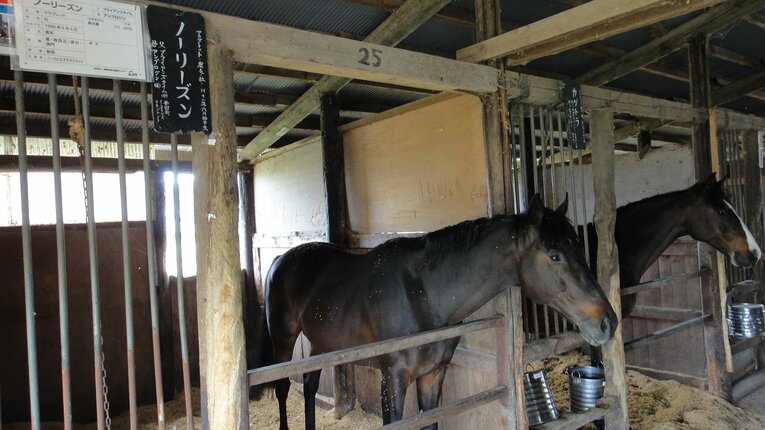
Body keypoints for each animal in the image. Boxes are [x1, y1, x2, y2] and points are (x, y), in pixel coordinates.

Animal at [255, 195, 617, 430]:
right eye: (555, 255)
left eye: (578, 247)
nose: (607, 321)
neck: (423, 294)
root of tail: (280, 259)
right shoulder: (393, 380)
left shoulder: (433, 375)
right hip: (284, 340)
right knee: (284, 387)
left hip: (321, 344)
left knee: (310, 384)